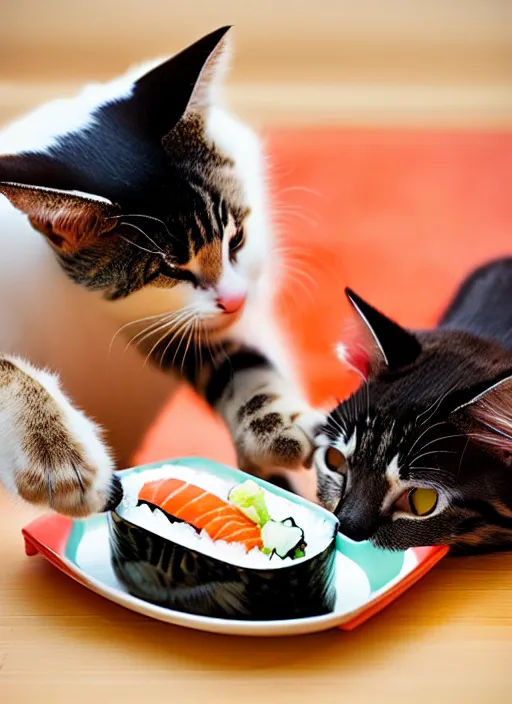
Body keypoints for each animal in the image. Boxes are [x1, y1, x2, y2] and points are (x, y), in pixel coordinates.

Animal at [0, 27, 322, 516]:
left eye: (236, 238)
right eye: (171, 269)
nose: (237, 301)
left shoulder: (164, 320)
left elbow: (228, 353)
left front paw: (274, 421)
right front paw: (58, 454)